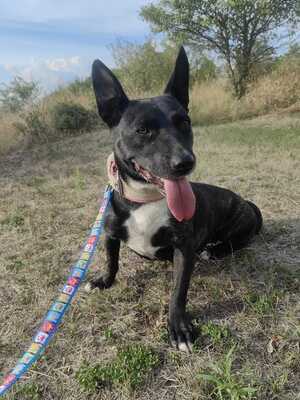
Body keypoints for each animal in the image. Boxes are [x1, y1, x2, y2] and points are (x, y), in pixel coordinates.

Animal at [85, 46, 264, 354]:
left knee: (237, 243)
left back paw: (214, 250)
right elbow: (111, 261)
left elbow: (178, 291)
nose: (185, 162)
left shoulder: (184, 247)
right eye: (142, 130)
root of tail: (245, 201)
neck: (145, 199)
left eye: (185, 123)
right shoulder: (109, 233)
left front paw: (179, 328)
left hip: (239, 225)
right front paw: (104, 281)